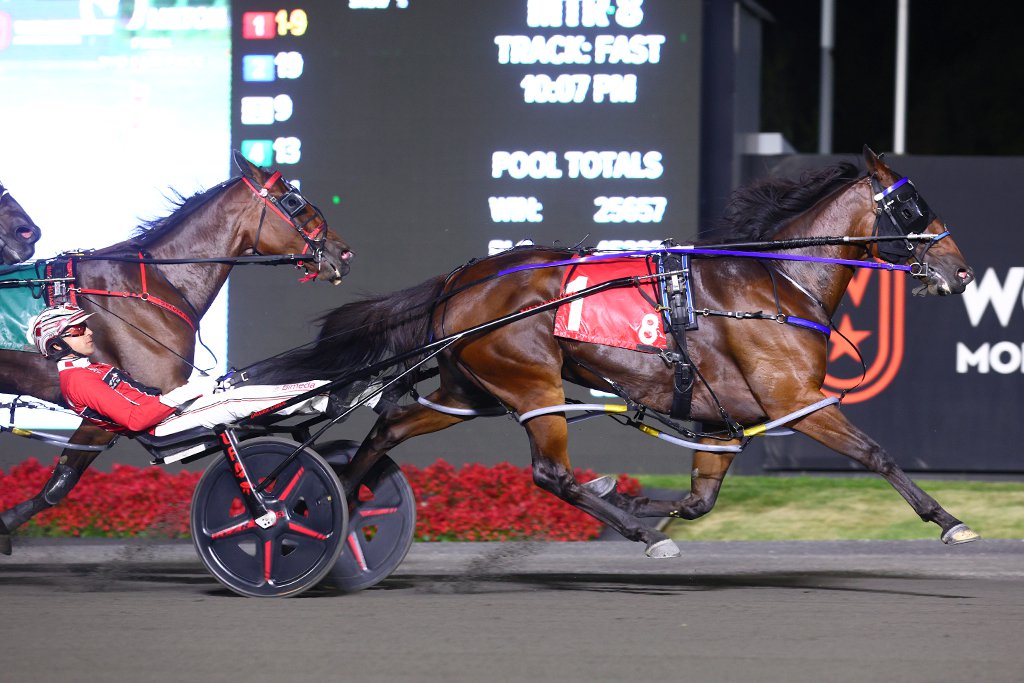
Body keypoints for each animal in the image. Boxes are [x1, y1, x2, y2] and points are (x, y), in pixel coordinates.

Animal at [253, 147, 974, 557]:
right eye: (913, 204)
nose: (961, 271)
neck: (772, 281)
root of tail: (461, 280)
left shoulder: (724, 422)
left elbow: (699, 501)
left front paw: (635, 500)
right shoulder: (795, 401)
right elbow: (876, 454)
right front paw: (948, 520)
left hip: (470, 388)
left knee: (393, 424)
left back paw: (338, 500)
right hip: (532, 385)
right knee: (551, 474)